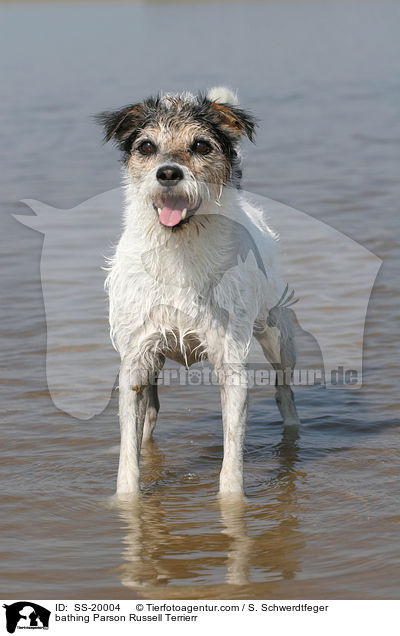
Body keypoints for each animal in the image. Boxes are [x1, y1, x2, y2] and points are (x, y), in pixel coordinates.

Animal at [96, 87, 300, 500]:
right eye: (146, 146)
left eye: (201, 145)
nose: (168, 172)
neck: (180, 247)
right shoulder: (136, 360)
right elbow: (128, 449)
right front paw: (126, 499)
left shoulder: (231, 362)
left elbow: (232, 452)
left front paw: (232, 503)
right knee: (149, 417)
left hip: (277, 336)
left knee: (284, 390)